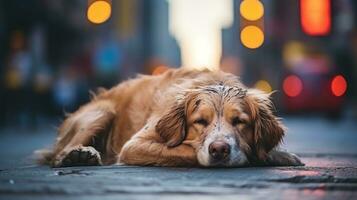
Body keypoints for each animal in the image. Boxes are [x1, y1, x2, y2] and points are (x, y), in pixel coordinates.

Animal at [38, 68, 300, 168]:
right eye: (200, 122)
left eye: (239, 122)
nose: (219, 150)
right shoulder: (134, 145)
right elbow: (183, 151)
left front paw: (278, 155)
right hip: (102, 112)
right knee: (59, 155)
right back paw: (78, 155)